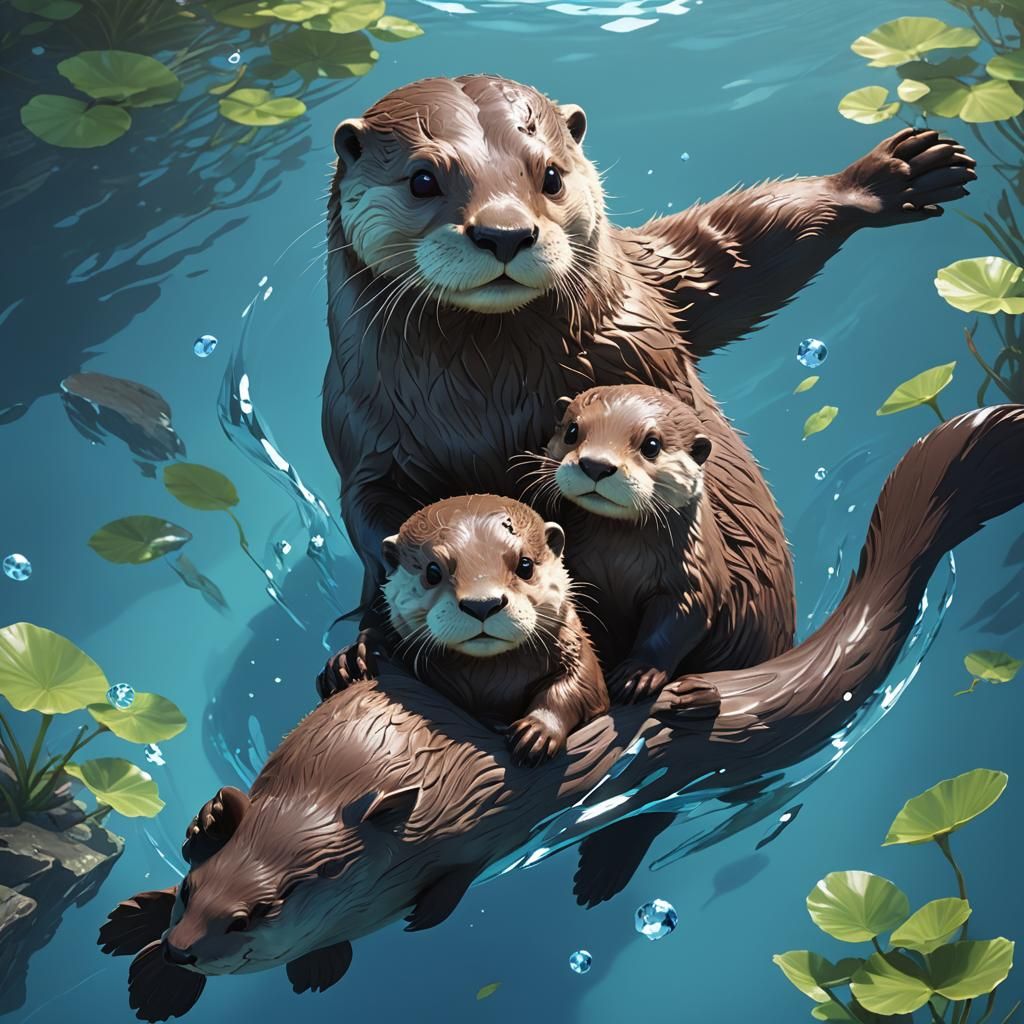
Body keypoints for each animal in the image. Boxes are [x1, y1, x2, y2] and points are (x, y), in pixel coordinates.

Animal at [535, 384, 727, 703]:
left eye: (652, 445)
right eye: (572, 431)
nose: (595, 465)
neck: (617, 562)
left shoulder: (693, 572)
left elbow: (680, 619)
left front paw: (638, 674)